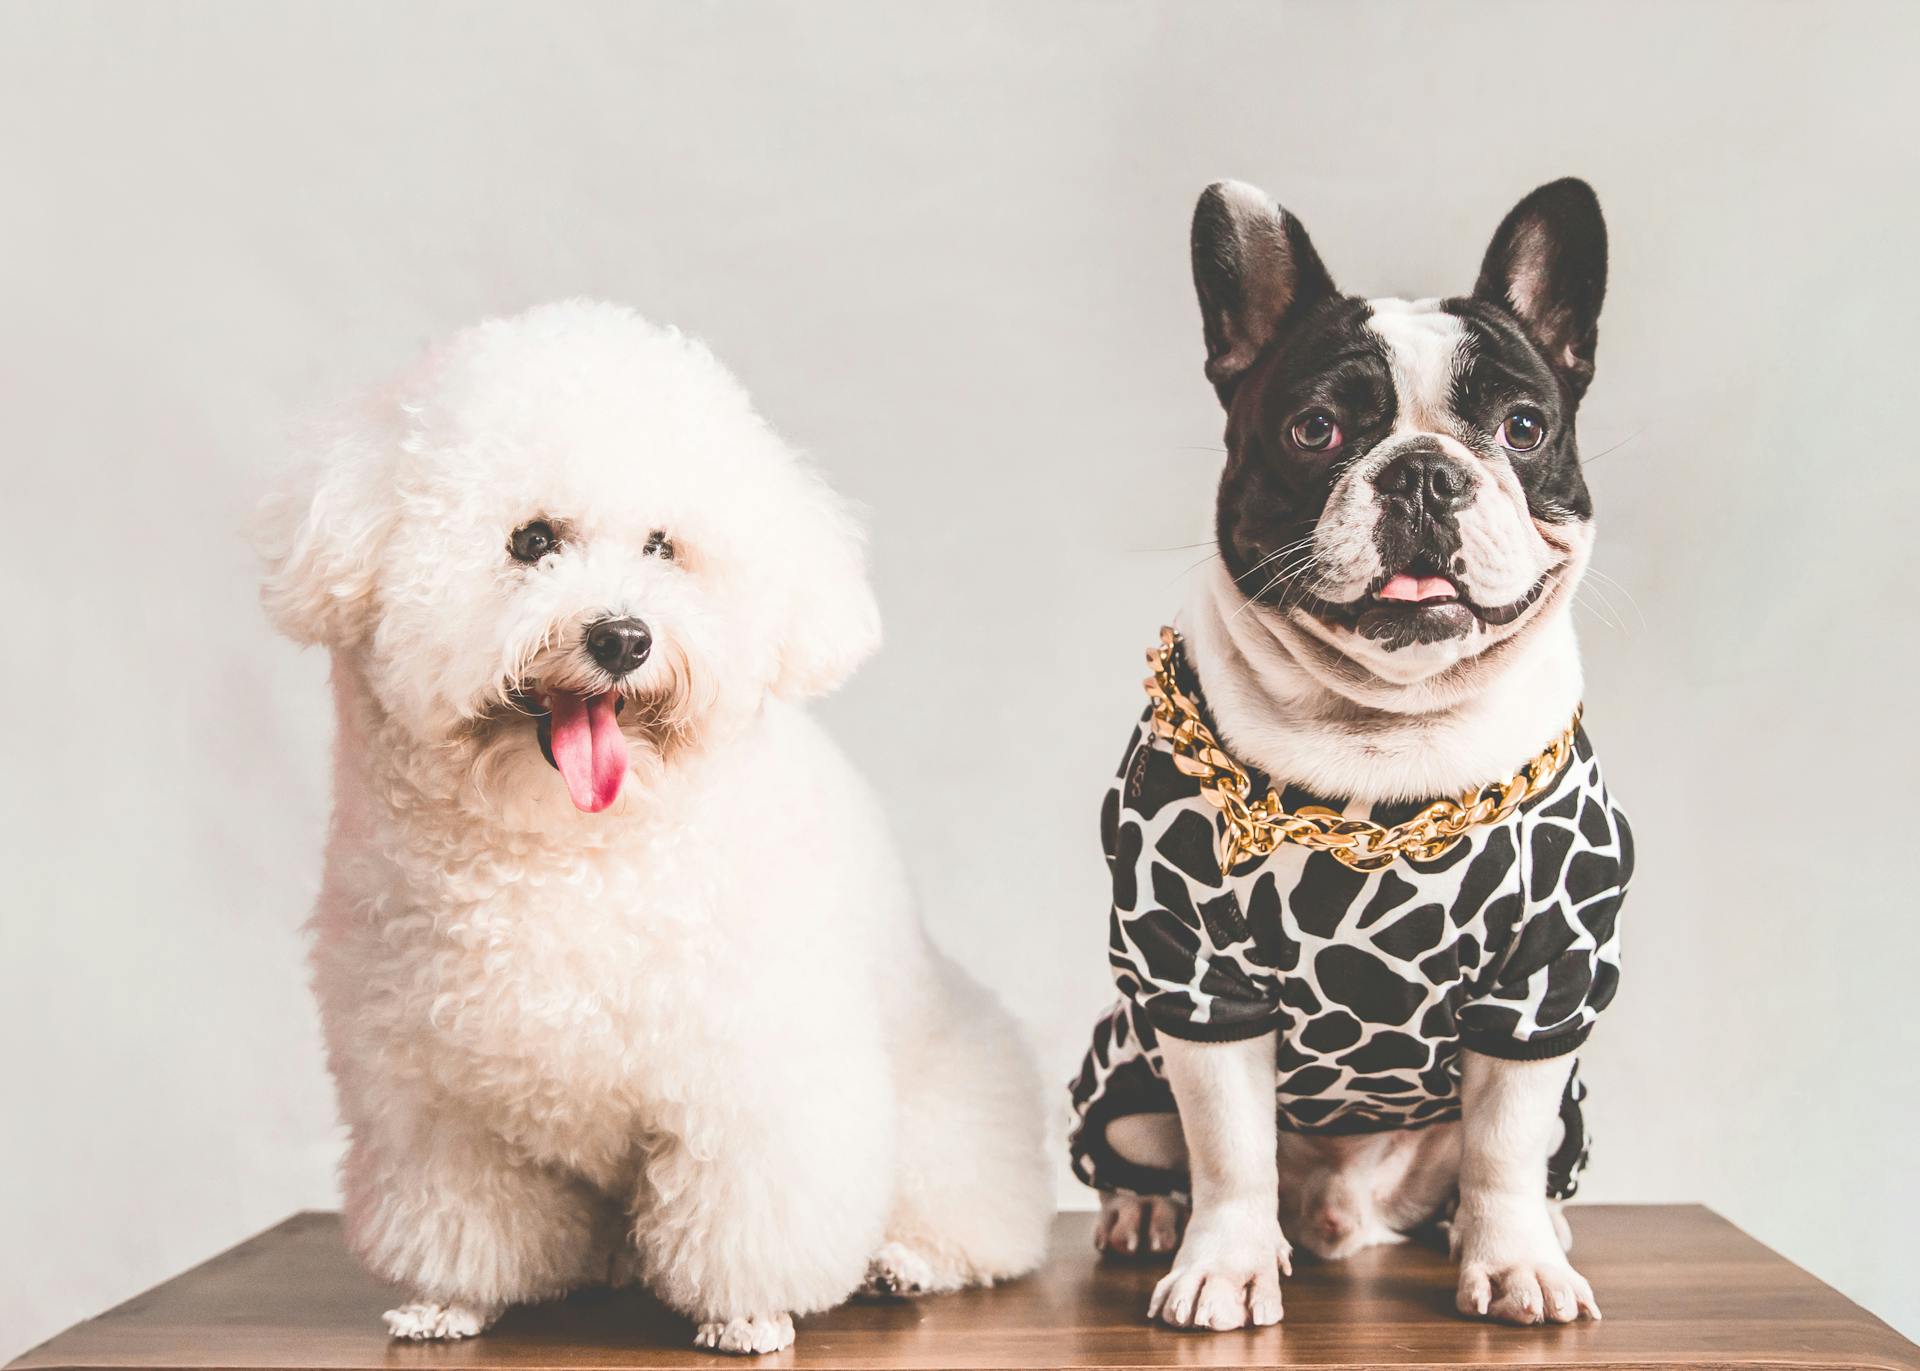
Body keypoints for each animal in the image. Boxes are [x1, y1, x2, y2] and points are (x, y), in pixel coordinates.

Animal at [259, 295, 1052, 1344]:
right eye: (532, 540)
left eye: (662, 546)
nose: (623, 637)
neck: (569, 852)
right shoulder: (434, 1102)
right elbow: (459, 1212)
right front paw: (450, 1298)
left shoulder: (754, 1080)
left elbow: (750, 1208)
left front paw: (748, 1316)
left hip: (946, 1114)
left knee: (972, 1216)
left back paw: (904, 1260)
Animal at [1067, 178, 1635, 1321]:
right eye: (1315, 429)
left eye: (1523, 426)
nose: (1421, 473)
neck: (1389, 729)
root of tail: (1346, 1216)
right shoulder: (1197, 980)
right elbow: (1230, 1147)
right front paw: (1224, 1268)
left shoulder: (1544, 985)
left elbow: (1505, 1145)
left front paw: (1515, 1261)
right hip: (1123, 1068)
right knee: (1149, 1148)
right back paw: (1146, 1216)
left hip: (1570, 1106)